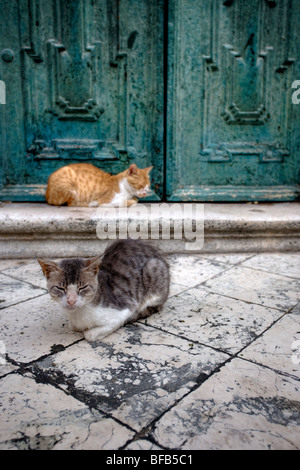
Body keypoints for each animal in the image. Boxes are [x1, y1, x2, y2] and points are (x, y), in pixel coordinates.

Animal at [37, 239, 169, 342]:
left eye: (82, 287)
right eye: (60, 288)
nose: (71, 300)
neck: (78, 314)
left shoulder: (124, 309)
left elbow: (91, 334)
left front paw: (89, 331)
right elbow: (72, 325)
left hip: (153, 269)